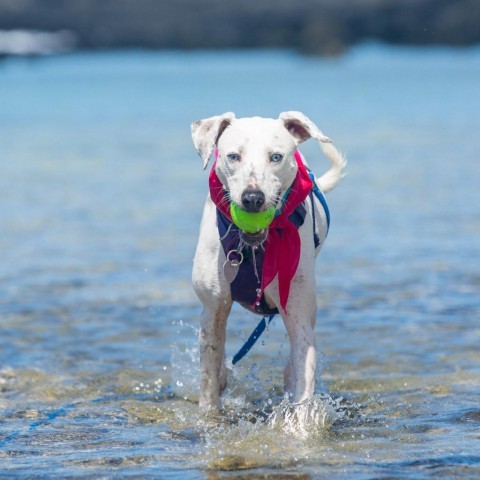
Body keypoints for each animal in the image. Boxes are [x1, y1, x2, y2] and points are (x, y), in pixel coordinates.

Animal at [191, 111, 344, 408]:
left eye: (276, 157)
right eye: (233, 156)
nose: (252, 198)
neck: (252, 250)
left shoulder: (298, 312)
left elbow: (302, 378)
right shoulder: (213, 310)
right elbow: (208, 381)